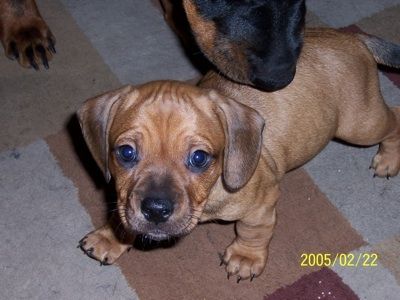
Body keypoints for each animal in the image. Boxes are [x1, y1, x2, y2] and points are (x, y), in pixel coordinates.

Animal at [76, 28, 400, 282]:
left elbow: (252, 231)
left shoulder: (262, 204)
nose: (156, 209)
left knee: (395, 117)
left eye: (199, 158)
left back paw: (388, 160)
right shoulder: (126, 198)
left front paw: (246, 257)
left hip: (360, 125)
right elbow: (122, 214)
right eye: (126, 152)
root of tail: (351, 37)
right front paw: (110, 237)